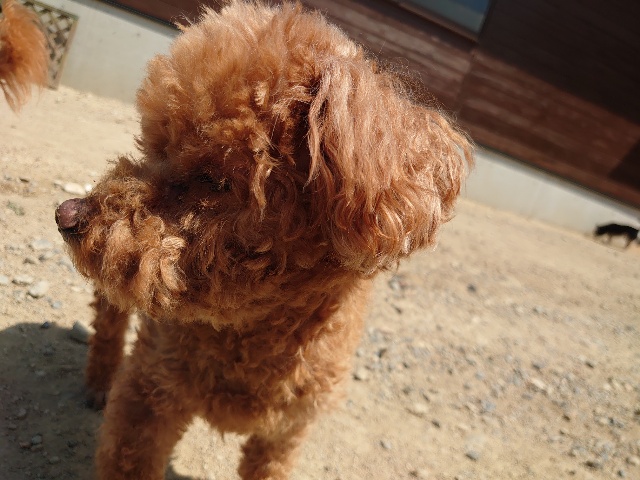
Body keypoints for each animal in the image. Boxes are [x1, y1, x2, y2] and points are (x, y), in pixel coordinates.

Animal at [55, 2, 472, 478]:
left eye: (214, 180)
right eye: (153, 148)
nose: (66, 215)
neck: (253, 331)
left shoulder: (286, 431)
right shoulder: (149, 392)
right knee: (108, 324)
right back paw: (97, 384)